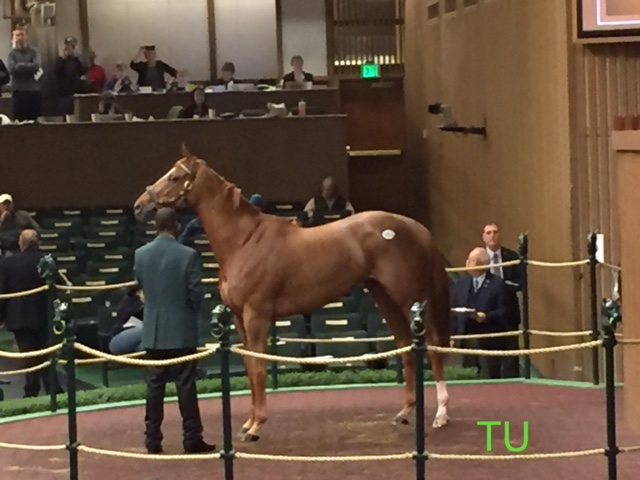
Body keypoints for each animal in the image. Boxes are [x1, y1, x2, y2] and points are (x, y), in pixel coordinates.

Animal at [133, 146, 452, 442]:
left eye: (175, 177)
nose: (139, 206)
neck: (244, 241)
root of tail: (414, 226)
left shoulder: (256, 316)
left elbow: (259, 367)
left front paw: (256, 427)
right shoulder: (238, 318)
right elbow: (249, 365)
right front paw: (248, 423)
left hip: (410, 299)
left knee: (432, 346)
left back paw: (441, 415)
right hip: (384, 297)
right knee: (406, 346)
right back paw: (405, 412)